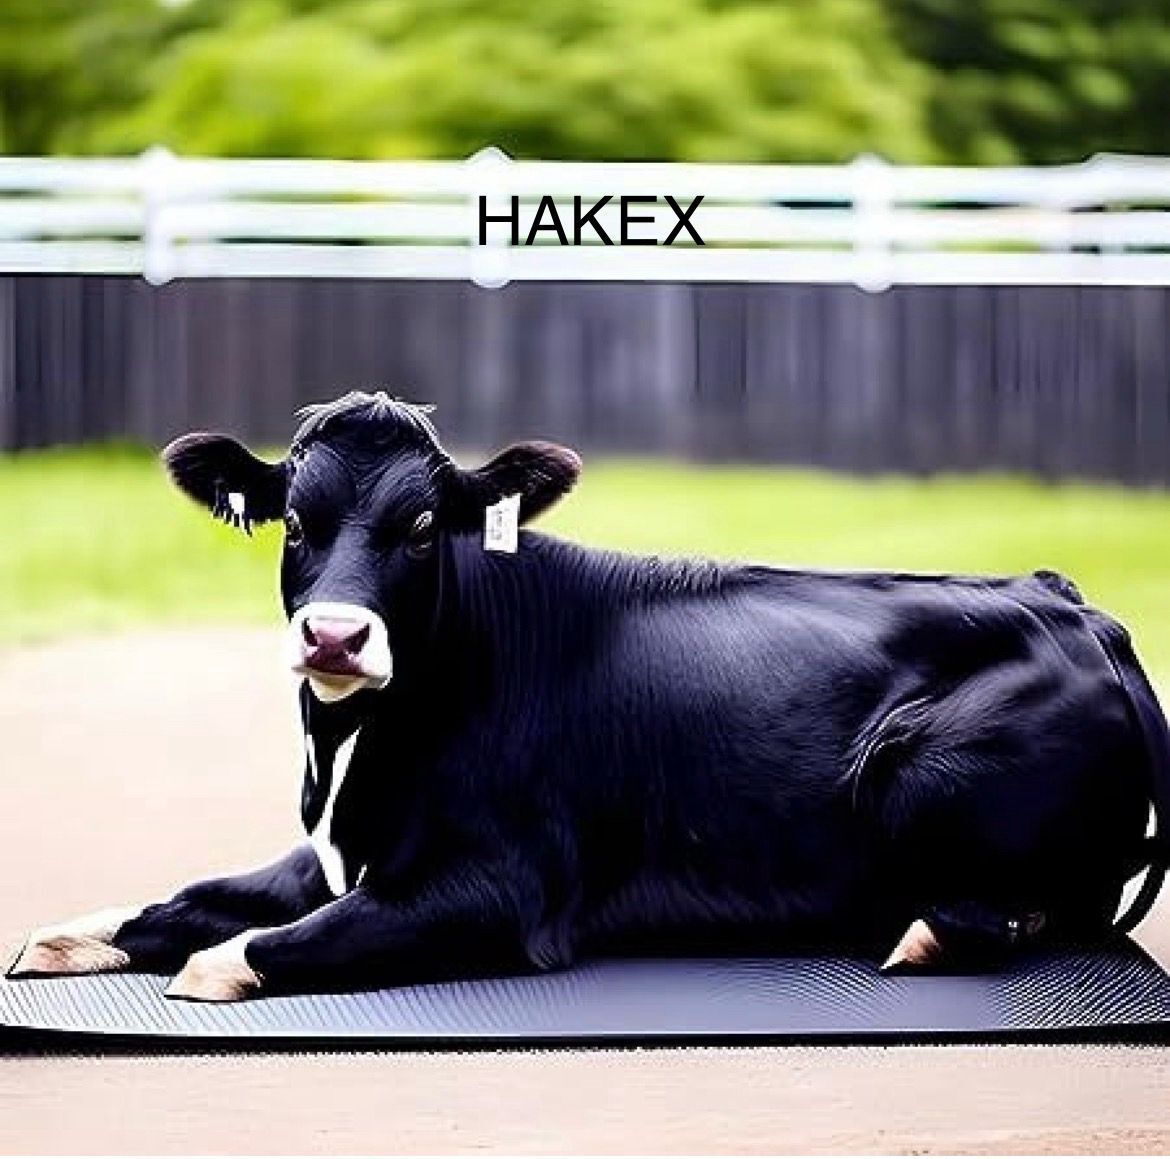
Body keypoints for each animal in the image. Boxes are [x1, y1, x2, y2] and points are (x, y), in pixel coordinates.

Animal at [9, 391, 1169, 1002]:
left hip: (912, 770)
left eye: (424, 526)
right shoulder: (336, 847)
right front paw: (65, 936)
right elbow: (192, 898)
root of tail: (1066, 600)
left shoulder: (501, 888)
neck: (353, 754)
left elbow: (260, 942)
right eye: (294, 518)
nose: (333, 635)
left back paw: (926, 931)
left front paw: (205, 963)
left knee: (1027, 910)